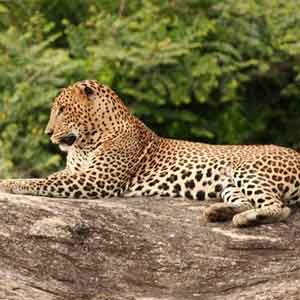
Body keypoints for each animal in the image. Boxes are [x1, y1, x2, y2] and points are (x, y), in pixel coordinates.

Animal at [0, 81, 300, 226]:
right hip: (229, 183)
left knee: (280, 207)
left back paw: (246, 219)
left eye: (62, 109)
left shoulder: (97, 180)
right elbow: (48, 177)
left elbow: (41, 181)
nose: (48, 132)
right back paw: (218, 212)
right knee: (249, 201)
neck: (85, 141)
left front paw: (8, 183)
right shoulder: (75, 172)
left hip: (246, 170)